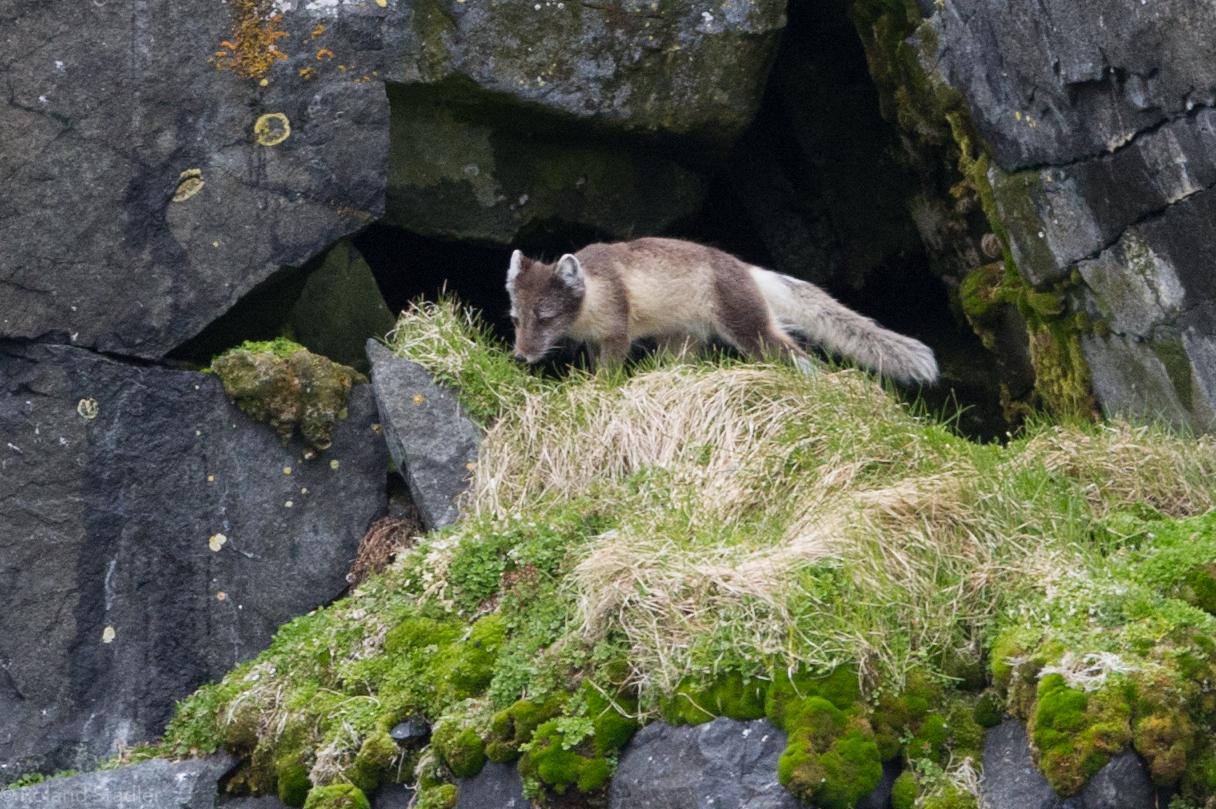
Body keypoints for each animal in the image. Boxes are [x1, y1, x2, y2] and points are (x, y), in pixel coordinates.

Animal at [503, 237, 938, 384]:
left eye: (546, 317)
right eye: (516, 319)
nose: (521, 357)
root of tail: (748, 269)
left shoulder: (617, 331)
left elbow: (609, 371)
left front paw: (601, 389)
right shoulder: (595, 340)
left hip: (748, 327)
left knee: (801, 358)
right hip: (682, 341)